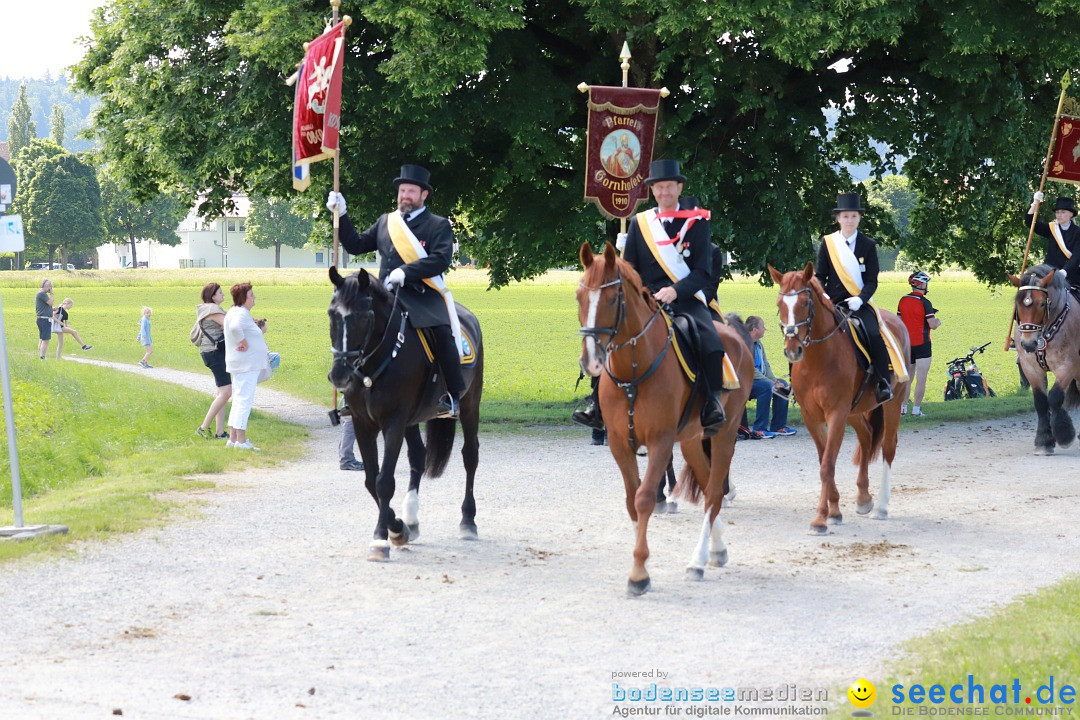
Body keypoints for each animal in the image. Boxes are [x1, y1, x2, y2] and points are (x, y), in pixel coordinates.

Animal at [324, 267, 486, 561]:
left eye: (364, 316)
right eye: (332, 314)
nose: (339, 375)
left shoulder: (394, 422)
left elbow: (384, 481)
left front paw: (381, 539)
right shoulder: (363, 423)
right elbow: (371, 480)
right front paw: (398, 528)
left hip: (470, 404)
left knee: (470, 455)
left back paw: (468, 521)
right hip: (413, 420)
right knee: (418, 456)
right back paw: (411, 518)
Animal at [574, 241, 751, 595]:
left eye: (612, 298)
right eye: (579, 296)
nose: (591, 360)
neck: (634, 368)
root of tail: (737, 335)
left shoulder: (660, 442)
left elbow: (643, 499)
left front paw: (639, 573)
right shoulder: (620, 444)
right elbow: (631, 500)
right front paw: (639, 563)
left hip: (723, 434)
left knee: (714, 491)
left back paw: (697, 560)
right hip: (692, 439)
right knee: (707, 482)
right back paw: (717, 549)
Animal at [768, 262, 911, 533]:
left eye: (805, 303)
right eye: (779, 304)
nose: (792, 350)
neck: (817, 358)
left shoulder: (836, 412)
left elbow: (827, 464)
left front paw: (821, 518)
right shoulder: (812, 416)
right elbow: (824, 459)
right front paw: (834, 511)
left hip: (892, 403)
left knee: (888, 447)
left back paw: (881, 507)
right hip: (855, 410)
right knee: (866, 437)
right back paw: (864, 499)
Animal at [1002, 264, 1080, 455]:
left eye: (1042, 304)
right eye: (1017, 304)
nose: (1028, 344)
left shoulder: (1067, 365)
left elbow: (1055, 397)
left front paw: (1064, 435)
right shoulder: (1031, 368)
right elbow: (1041, 402)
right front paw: (1044, 441)